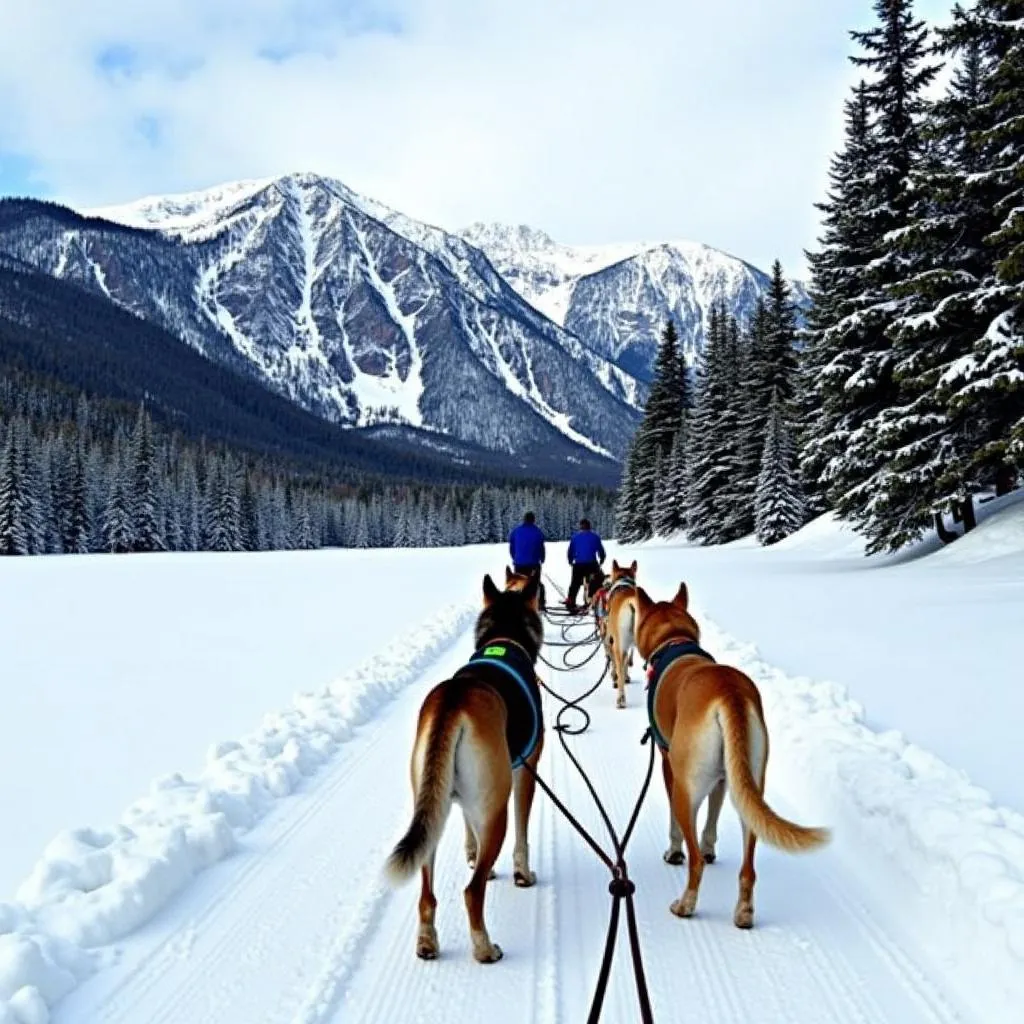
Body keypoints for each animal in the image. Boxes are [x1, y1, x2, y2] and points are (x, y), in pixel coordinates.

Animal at [385, 573, 544, 962]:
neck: (504, 638)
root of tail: (453, 701)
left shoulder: (463, 799)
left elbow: (469, 827)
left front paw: (473, 855)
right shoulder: (525, 772)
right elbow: (522, 835)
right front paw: (523, 874)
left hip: (430, 808)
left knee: (427, 895)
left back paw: (427, 941)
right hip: (497, 810)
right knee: (472, 893)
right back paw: (485, 948)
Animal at [630, 585, 831, 929]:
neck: (674, 641)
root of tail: (728, 693)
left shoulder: (669, 766)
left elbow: (676, 825)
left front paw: (674, 852)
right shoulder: (724, 778)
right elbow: (712, 819)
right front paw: (710, 847)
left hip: (688, 789)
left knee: (695, 861)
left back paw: (685, 904)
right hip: (749, 786)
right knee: (748, 867)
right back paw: (744, 912)